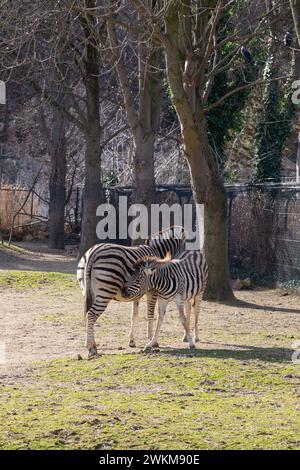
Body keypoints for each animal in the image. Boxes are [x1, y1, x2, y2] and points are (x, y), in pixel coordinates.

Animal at [77, 226, 185, 358]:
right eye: (184, 245)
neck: (157, 251)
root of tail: (93, 252)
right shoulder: (152, 290)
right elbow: (150, 314)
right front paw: (151, 341)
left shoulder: (136, 292)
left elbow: (134, 315)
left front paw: (132, 341)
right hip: (105, 292)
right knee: (91, 314)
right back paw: (91, 348)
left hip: (87, 291)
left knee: (88, 314)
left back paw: (91, 344)